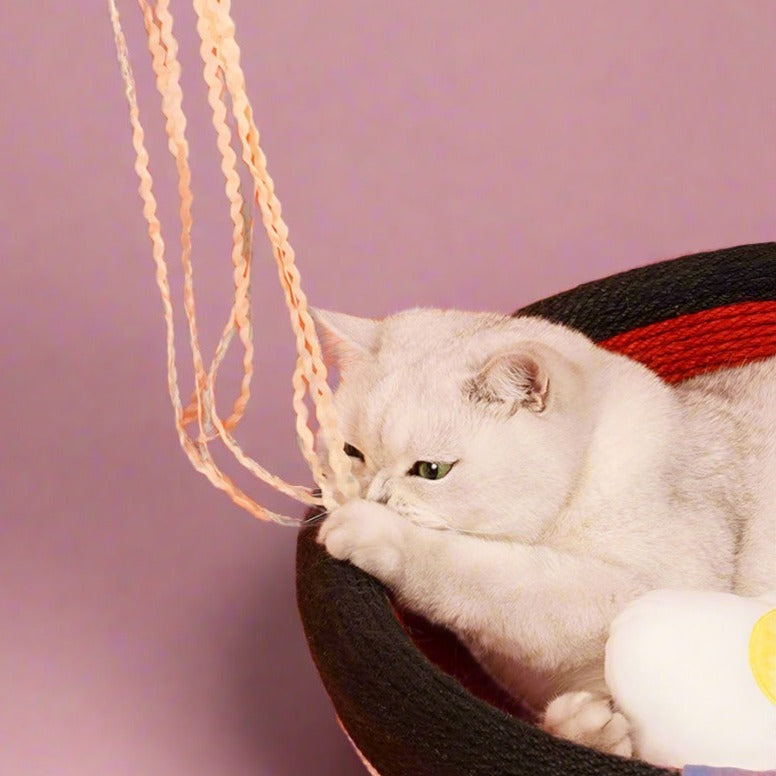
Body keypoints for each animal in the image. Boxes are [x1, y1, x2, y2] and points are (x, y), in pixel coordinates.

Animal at [312, 308, 772, 756]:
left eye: (432, 470)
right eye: (351, 452)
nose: (370, 497)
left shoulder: (643, 588)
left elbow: (479, 573)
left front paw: (366, 527)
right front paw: (592, 727)